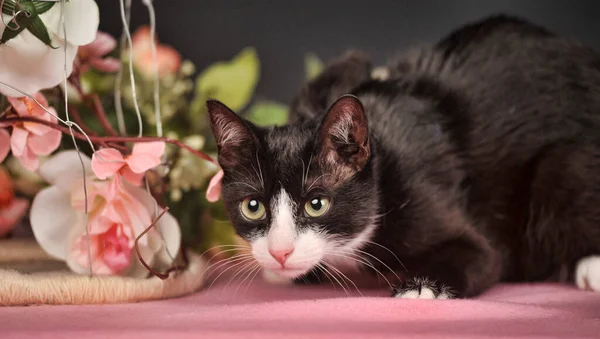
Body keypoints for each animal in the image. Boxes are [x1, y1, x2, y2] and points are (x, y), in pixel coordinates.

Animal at [205, 14, 600, 298]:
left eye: (316, 204)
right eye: (253, 207)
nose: (280, 253)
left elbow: (484, 256)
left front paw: (421, 287)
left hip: (560, 174)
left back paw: (590, 265)